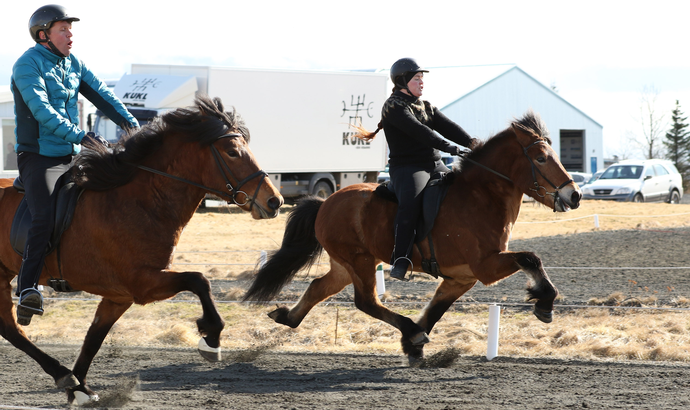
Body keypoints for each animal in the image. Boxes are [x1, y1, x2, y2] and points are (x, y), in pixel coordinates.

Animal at [0, 95, 282, 404]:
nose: (274, 201)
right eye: (232, 152)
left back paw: (64, 375)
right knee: (10, 326)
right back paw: (59, 369)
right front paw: (211, 338)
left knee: (9, 327)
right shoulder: (142, 283)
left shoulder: (119, 296)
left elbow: (93, 339)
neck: (142, 202)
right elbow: (199, 280)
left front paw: (80, 389)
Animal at [246, 111, 580, 362]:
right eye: (540, 158)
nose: (574, 195)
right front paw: (544, 302)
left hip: (347, 264)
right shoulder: (486, 267)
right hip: (360, 262)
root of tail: (326, 202)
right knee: (366, 302)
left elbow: (435, 310)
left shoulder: (462, 277)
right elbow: (531, 258)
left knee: (318, 287)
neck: (481, 197)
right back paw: (408, 329)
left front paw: (412, 347)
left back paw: (286, 317)